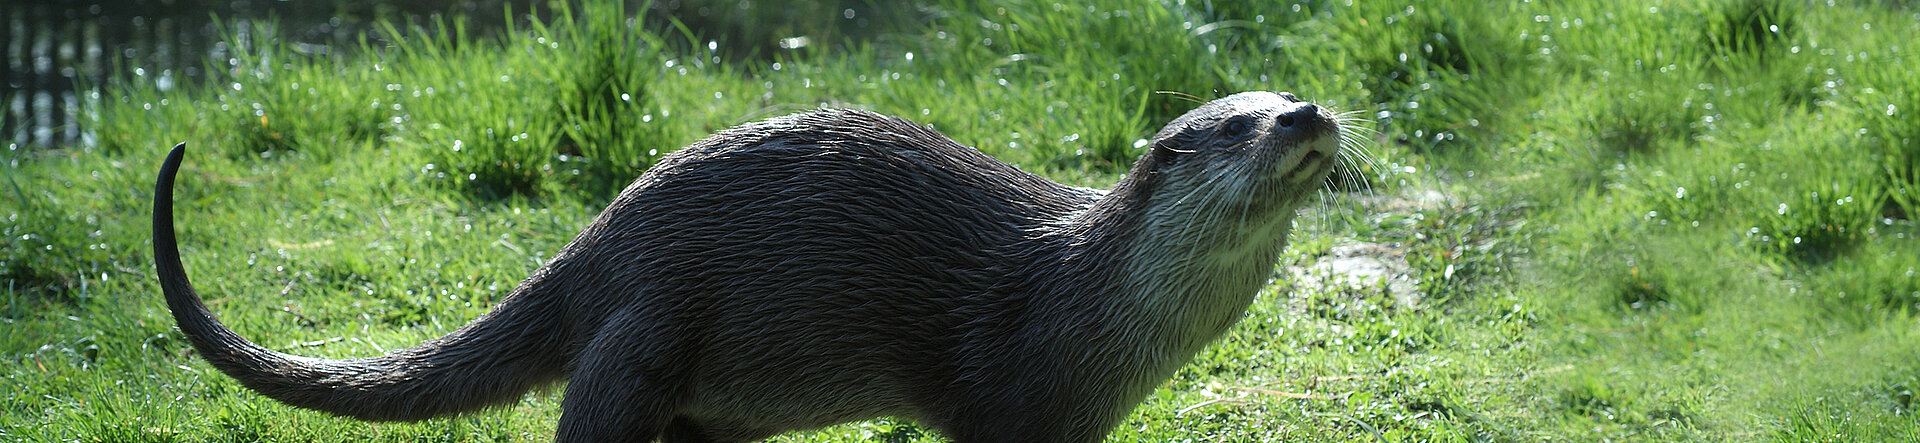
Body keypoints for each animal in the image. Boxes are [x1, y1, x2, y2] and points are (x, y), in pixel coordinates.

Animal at [153, 91, 1348, 442]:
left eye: (1288, 93)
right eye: (1238, 123)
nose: (1306, 114)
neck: (1091, 304)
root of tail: (599, 240)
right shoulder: (1007, 403)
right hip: (644, 327)